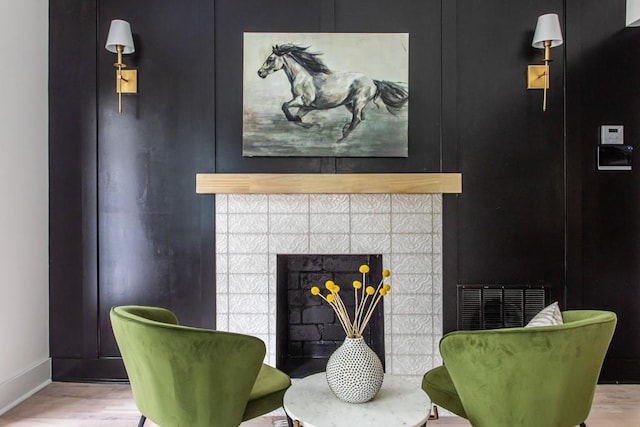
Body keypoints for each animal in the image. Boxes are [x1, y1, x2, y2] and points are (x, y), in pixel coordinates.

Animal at [258, 44, 408, 143]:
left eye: (270, 59)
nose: (260, 72)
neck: (302, 77)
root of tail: (373, 82)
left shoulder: (303, 101)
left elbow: (285, 107)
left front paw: (313, 125)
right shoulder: (308, 106)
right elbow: (297, 118)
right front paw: (313, 125)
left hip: (358, 102)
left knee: (357, 119)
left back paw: (340, 139)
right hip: (350, 104)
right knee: (361, 117)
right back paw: (344, 131)